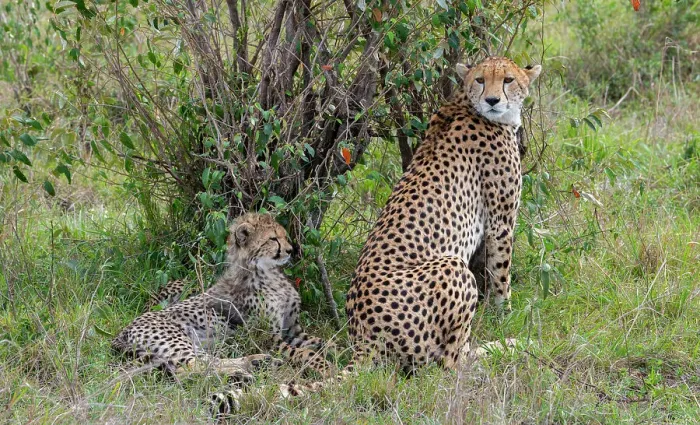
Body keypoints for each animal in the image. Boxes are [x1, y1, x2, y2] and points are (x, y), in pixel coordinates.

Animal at [112, 213, 335, 388]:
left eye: (284, 236)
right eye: (273, 239)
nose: (290, 250)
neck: (267, 272)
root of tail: (124, 329)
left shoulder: (292, 330)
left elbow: (324, 342)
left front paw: (338, 350)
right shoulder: (267, 338)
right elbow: (304, 353)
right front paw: (324, 366)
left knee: (198, 363)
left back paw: (255, 363)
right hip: (176, 340)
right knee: (190, 368)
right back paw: (244, 372)